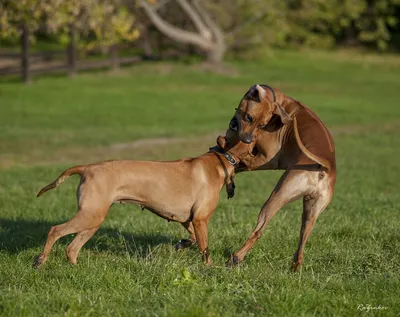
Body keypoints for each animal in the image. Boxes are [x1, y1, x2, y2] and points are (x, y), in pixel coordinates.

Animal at [33, 138, 253, 266]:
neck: (219, 160)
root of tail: (87, 167)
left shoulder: (187, 219)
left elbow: (191, 238)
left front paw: (182, 244)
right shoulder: (200, 220)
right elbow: (204, 248)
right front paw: (210, 268)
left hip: (93, 218)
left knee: (71, 248)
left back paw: (76, 268)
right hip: (90, 216)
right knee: (55, 230)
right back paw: (40, 260)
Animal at [220, 84, 336, 270]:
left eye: (262, 123)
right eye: (249, 117)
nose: (247, 139)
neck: (278, 101)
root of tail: (325, 167)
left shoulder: (268, 157)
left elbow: (244, 161)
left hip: (277, 196)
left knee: (258, 231)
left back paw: (236, 257)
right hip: (311, 211)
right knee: (303, 238)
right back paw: (295, 267)